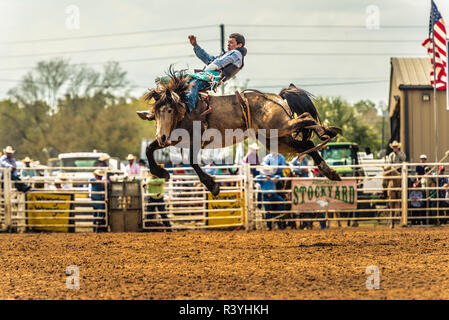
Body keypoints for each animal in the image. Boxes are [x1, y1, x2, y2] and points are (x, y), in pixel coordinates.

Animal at [138, 69, 342, 196]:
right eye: (155, 114)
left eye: (169, 110)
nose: (161, 136)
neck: (186, 109)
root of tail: (276, 97)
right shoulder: (173, 139)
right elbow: (149, 149)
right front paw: (160, 172)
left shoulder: (195, 140)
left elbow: (192, 162)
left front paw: (213, 186)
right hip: (276, 138)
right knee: (307, 144)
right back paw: (330, 172)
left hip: (280, 127)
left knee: (307, 118)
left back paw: (328, 131)